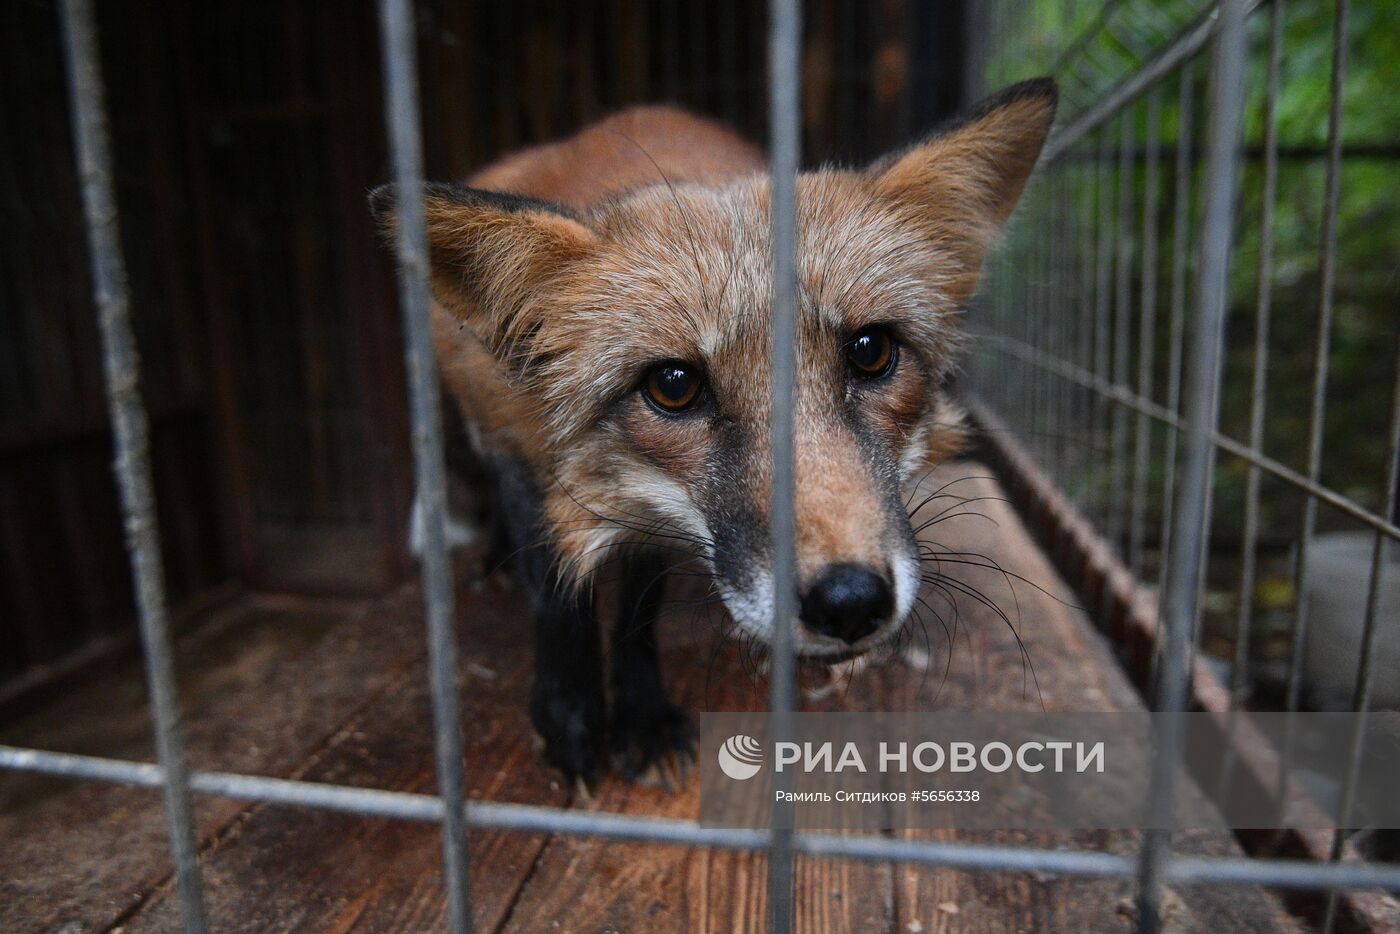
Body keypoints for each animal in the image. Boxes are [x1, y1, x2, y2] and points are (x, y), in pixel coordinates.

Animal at [366, 78, 1052, 789]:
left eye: (870, 350)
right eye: (673, 385)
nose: (850, 602)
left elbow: (637, 608)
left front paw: (639, 714)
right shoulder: (518, 442)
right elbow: (558, 600)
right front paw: (569, 717)